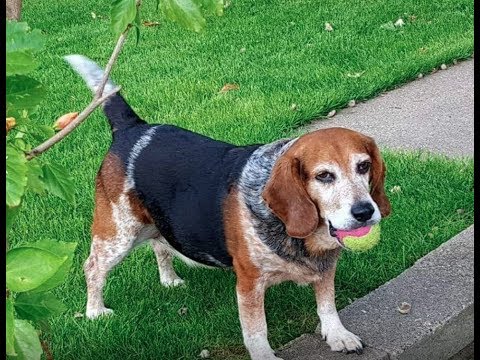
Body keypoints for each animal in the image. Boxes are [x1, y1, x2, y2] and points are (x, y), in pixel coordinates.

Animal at [66, 54, 390, 358]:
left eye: (363, 166)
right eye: (323, 175)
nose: (364, 212)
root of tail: (134, 129)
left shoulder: (325, 266)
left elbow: (327, 305)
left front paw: (337, 334)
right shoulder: (249, 282)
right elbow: (256, 331)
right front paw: (265, 356)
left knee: (159, 246)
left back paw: (169, 280)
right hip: (118, 233)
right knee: (93, 267)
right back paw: (95, 311)